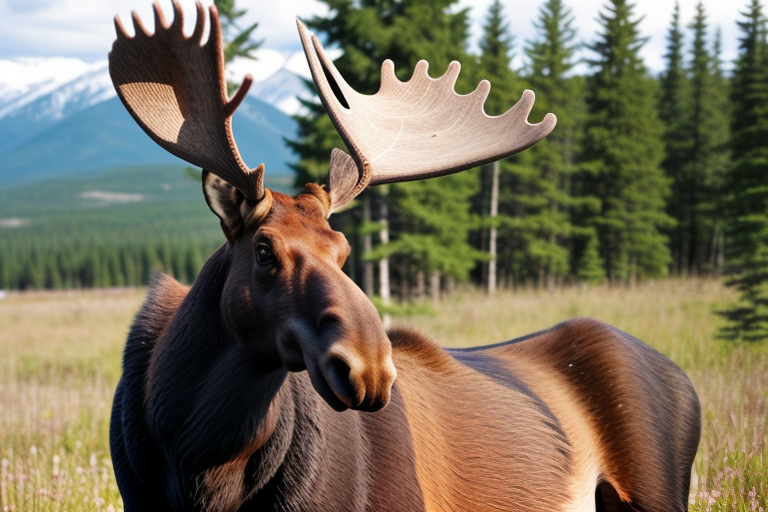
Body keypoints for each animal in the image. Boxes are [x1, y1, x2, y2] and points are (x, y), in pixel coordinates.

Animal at [108, 2, 701, 511]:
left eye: (344, 249)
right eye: (263, 249)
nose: (369, 367)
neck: (199, 460)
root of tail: (686, 381)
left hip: (658, 493)